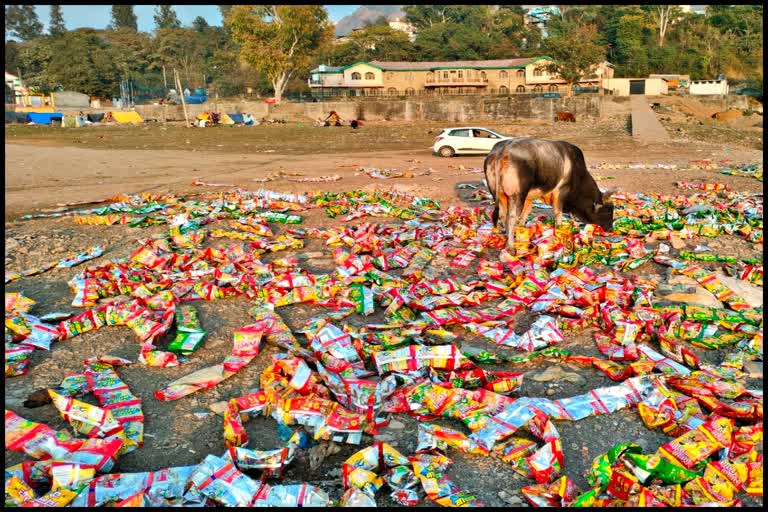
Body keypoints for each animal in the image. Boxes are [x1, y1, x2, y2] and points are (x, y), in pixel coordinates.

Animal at [484, 137, 616, 251]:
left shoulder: (529, 197)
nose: (610, 229)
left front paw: (522, 229)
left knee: (501, 215)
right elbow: (558, 213)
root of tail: (503, 150)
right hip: (517, 196)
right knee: (510, 219)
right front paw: (559, 230)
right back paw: (510, 247)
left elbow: (526, 212)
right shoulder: (560, 192)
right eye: (609, 210)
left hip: (500, 195)